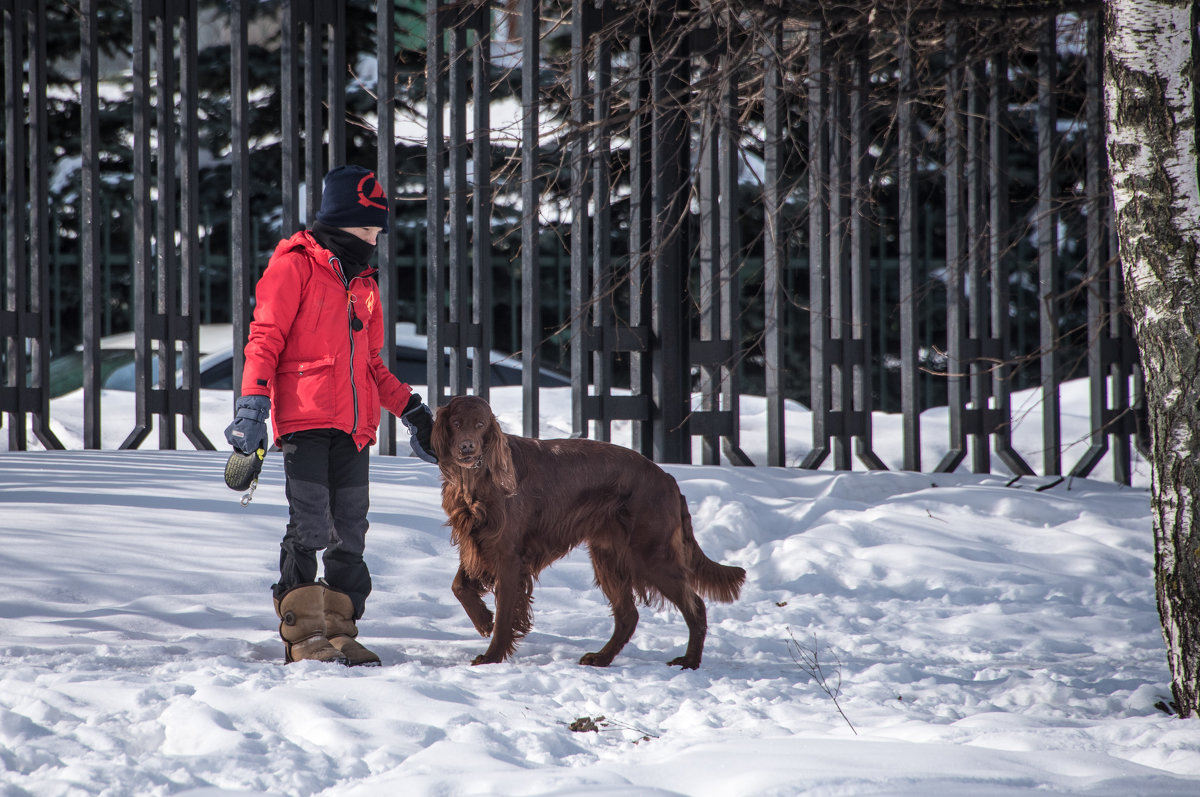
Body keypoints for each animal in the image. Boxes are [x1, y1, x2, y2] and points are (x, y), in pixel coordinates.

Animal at [436, 396, 744, 667]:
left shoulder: (509, 555)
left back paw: (689, 661)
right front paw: (483, 620)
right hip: (607, 556)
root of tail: (668, 478)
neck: (475, 482)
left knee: (696, 606)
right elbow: (458, 586)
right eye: (456, 422)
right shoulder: (477, 544)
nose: (467, 448)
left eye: (480, 424)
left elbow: (503, 615)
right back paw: (601, 658)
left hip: (651, 555)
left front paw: (492, 656)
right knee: (628, 615)